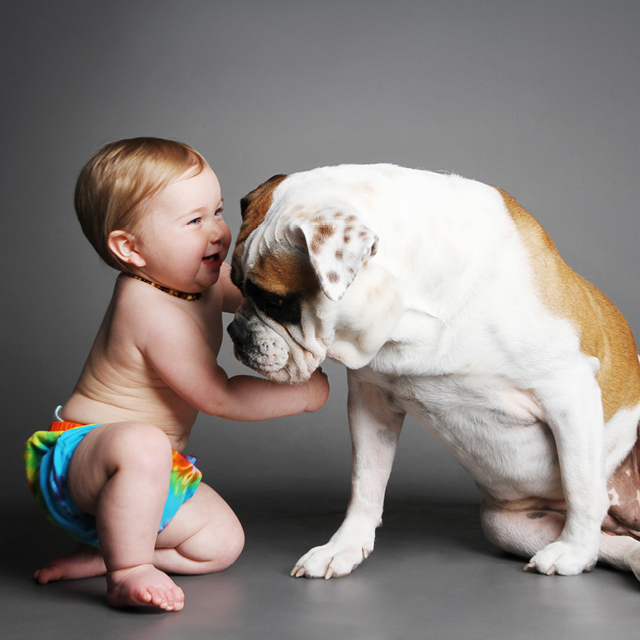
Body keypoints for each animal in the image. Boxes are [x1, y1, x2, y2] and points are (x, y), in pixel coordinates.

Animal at [229, 164, 640, 580]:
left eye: (274, 302)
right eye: (234, 283)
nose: (236, 332)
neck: (411, 310)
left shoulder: (568, 392)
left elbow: (580, 484)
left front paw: (574, 551)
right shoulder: (371, 403)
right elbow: (365, 481)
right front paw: (342, 547)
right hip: (507, 525)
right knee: (615, 542)